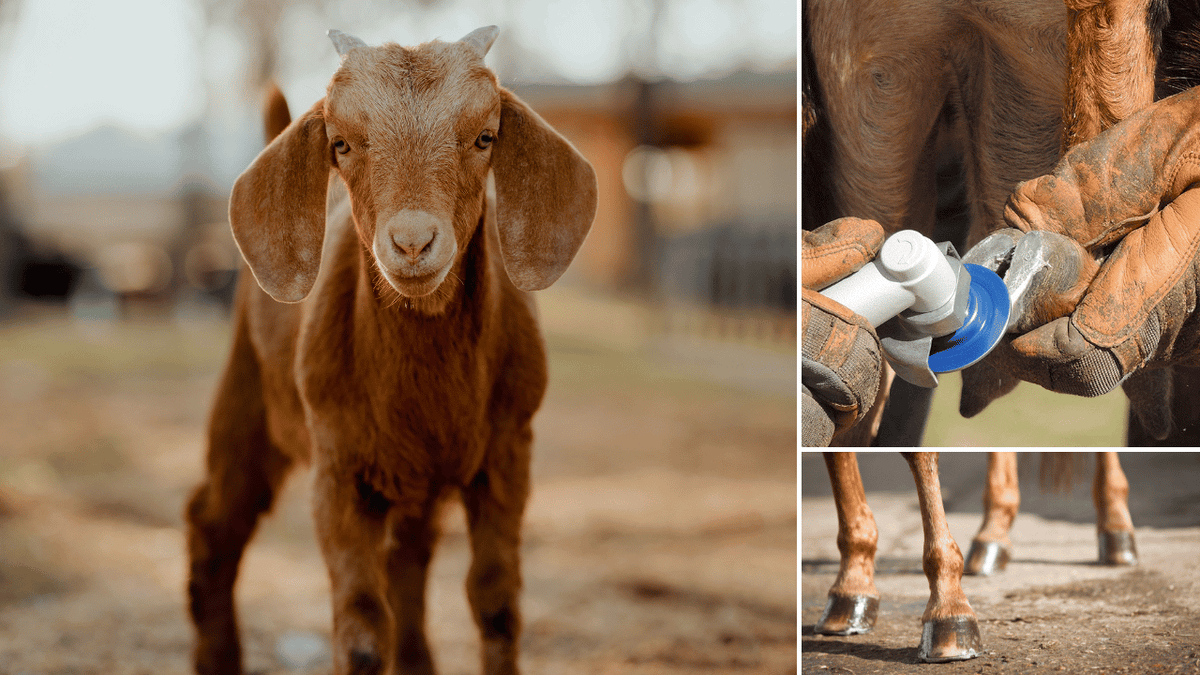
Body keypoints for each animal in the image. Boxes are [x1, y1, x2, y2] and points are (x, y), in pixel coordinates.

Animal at [184, 27, 597, 675]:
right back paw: (217, 658)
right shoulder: (338, 468)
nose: (412, 242)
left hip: (413, 484)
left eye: (485, 137)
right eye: (342, 144)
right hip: (247, 397)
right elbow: (359, 623)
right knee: (215, 519)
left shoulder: (509, 453)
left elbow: (496, 601)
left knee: (408, 562)